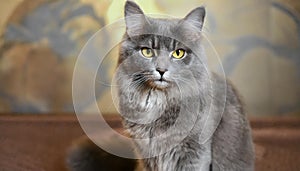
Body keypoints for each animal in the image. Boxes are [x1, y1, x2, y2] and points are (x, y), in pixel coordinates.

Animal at [67, 1, 254, 171]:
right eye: (147, 51)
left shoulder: (195, 154)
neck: (158, 101)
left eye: (178, 53)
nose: (161, 70)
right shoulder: (146, 156)